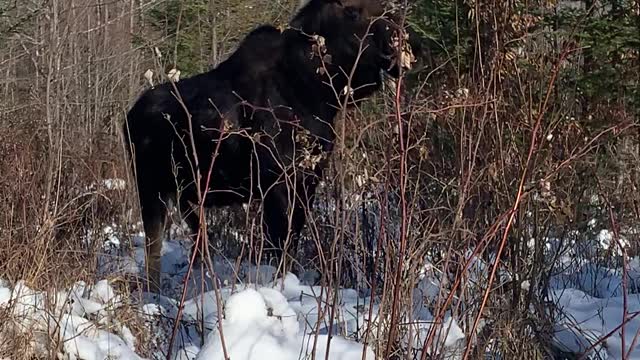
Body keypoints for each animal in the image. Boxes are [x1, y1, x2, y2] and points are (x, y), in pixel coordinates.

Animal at [125, 0, 424, 292]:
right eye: (352, 11)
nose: (404, 44)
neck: (318, 93)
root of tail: (128, 117)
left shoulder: (308, 180)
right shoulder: (277, 182)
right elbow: (279, 247)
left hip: (187, 195)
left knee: (197, 241)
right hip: (151, 189)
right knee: (154, 251)